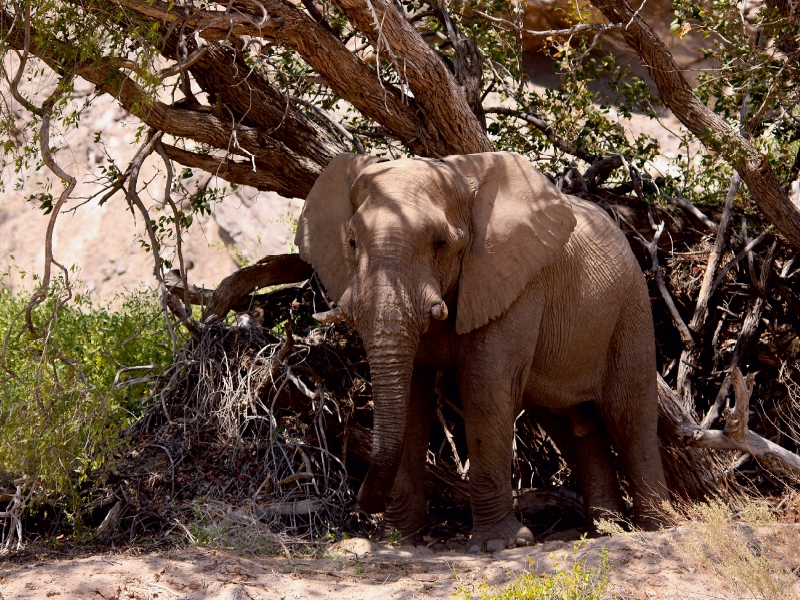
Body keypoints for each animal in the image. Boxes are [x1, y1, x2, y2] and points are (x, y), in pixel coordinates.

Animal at [294, 151, 668, 552]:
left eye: (440, 242)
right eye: (351, 242)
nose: (362, 503)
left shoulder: (515, 281)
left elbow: (485, 389)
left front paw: (499, 545)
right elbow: (412, 399)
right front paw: (396, 540)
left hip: (631, 309)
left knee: (628, 415)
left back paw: (656, 526)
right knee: (573, 425)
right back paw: (604, 530)